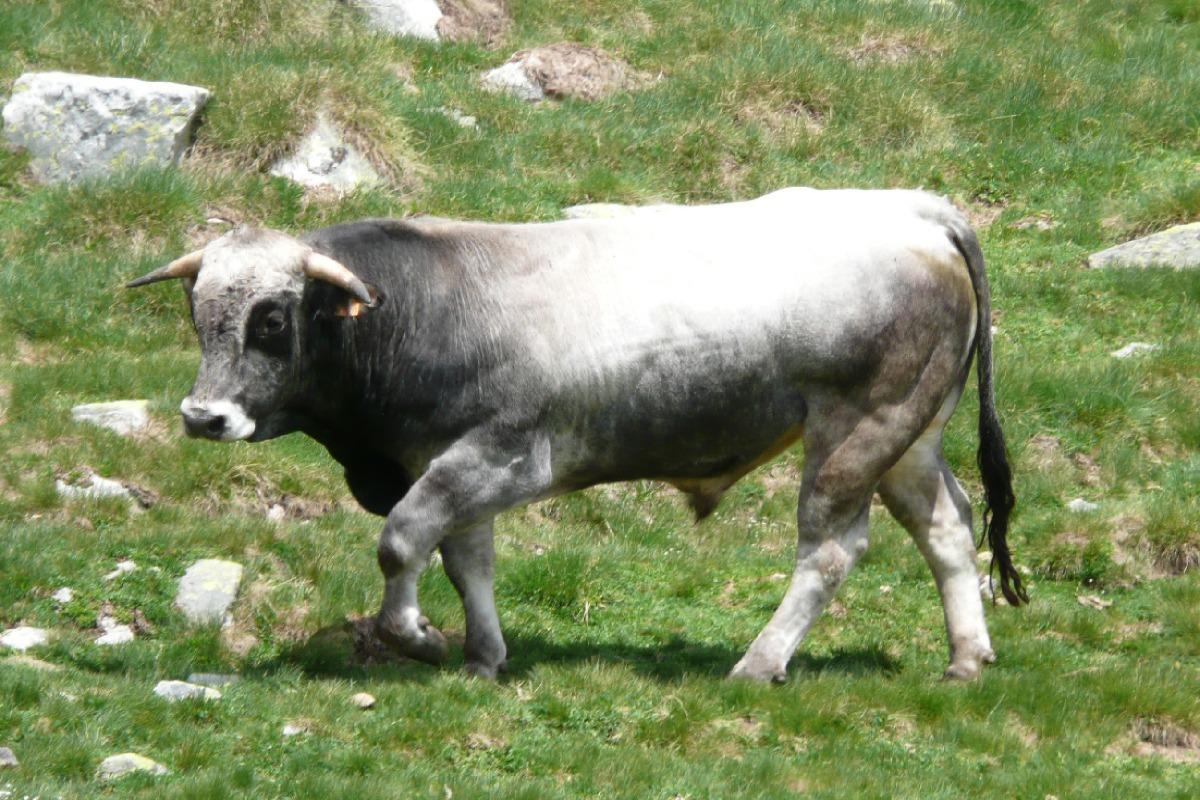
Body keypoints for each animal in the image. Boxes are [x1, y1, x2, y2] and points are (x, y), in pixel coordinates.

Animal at [128, 187, 1026, 683]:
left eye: (273, 319)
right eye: (198, 313)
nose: (203, 416)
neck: (427, 306)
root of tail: (912, 208)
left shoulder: (504, 453)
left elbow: (403, 537)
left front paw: (413, 634)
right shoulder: (450, 462)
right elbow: (466, 560)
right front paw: (483, 655)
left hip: (854, 434)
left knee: (832, 551)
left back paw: (758, 663)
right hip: (910, 437)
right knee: (947, 526)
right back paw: (967, 658)